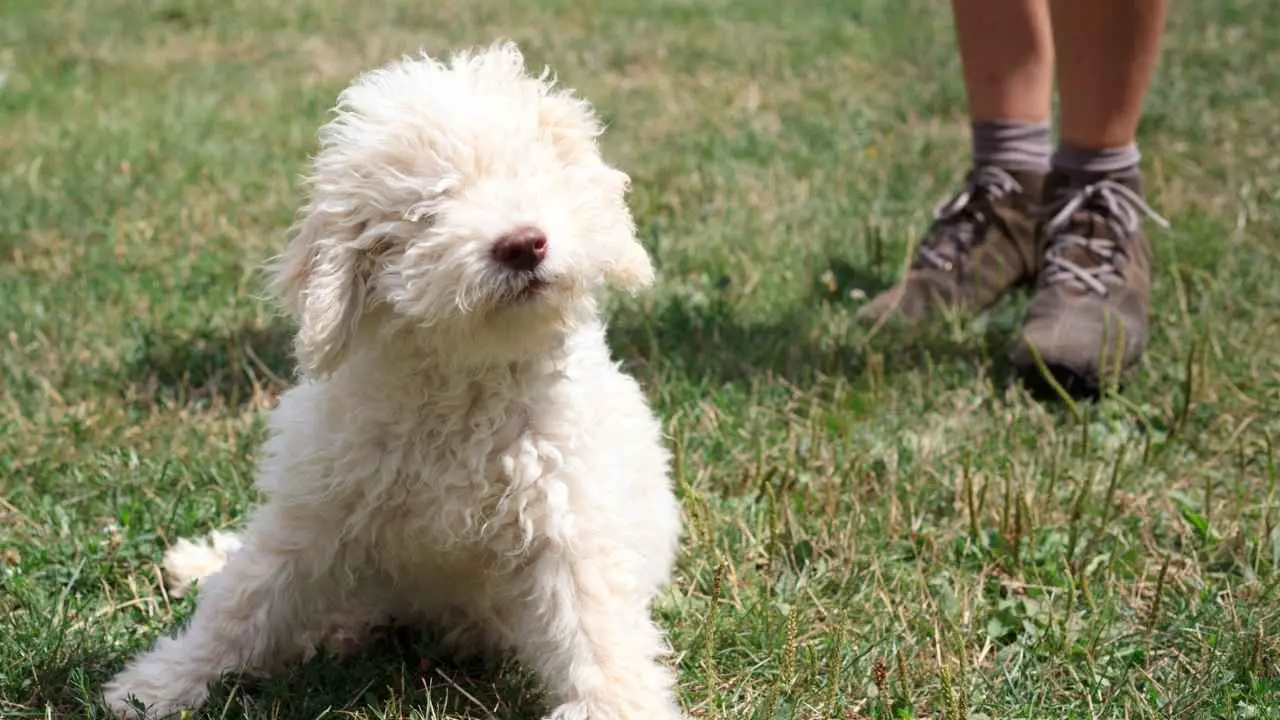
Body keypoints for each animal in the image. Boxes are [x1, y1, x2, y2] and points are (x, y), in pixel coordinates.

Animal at [103, 41, 686, 712]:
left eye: (532, 177)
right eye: (427, 209)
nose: (523, 244)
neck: (467, 382)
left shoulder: (569, 518)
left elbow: (595, 629)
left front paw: (613, 708)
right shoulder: (318, 507)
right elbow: (245, 598)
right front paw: (156, 685)